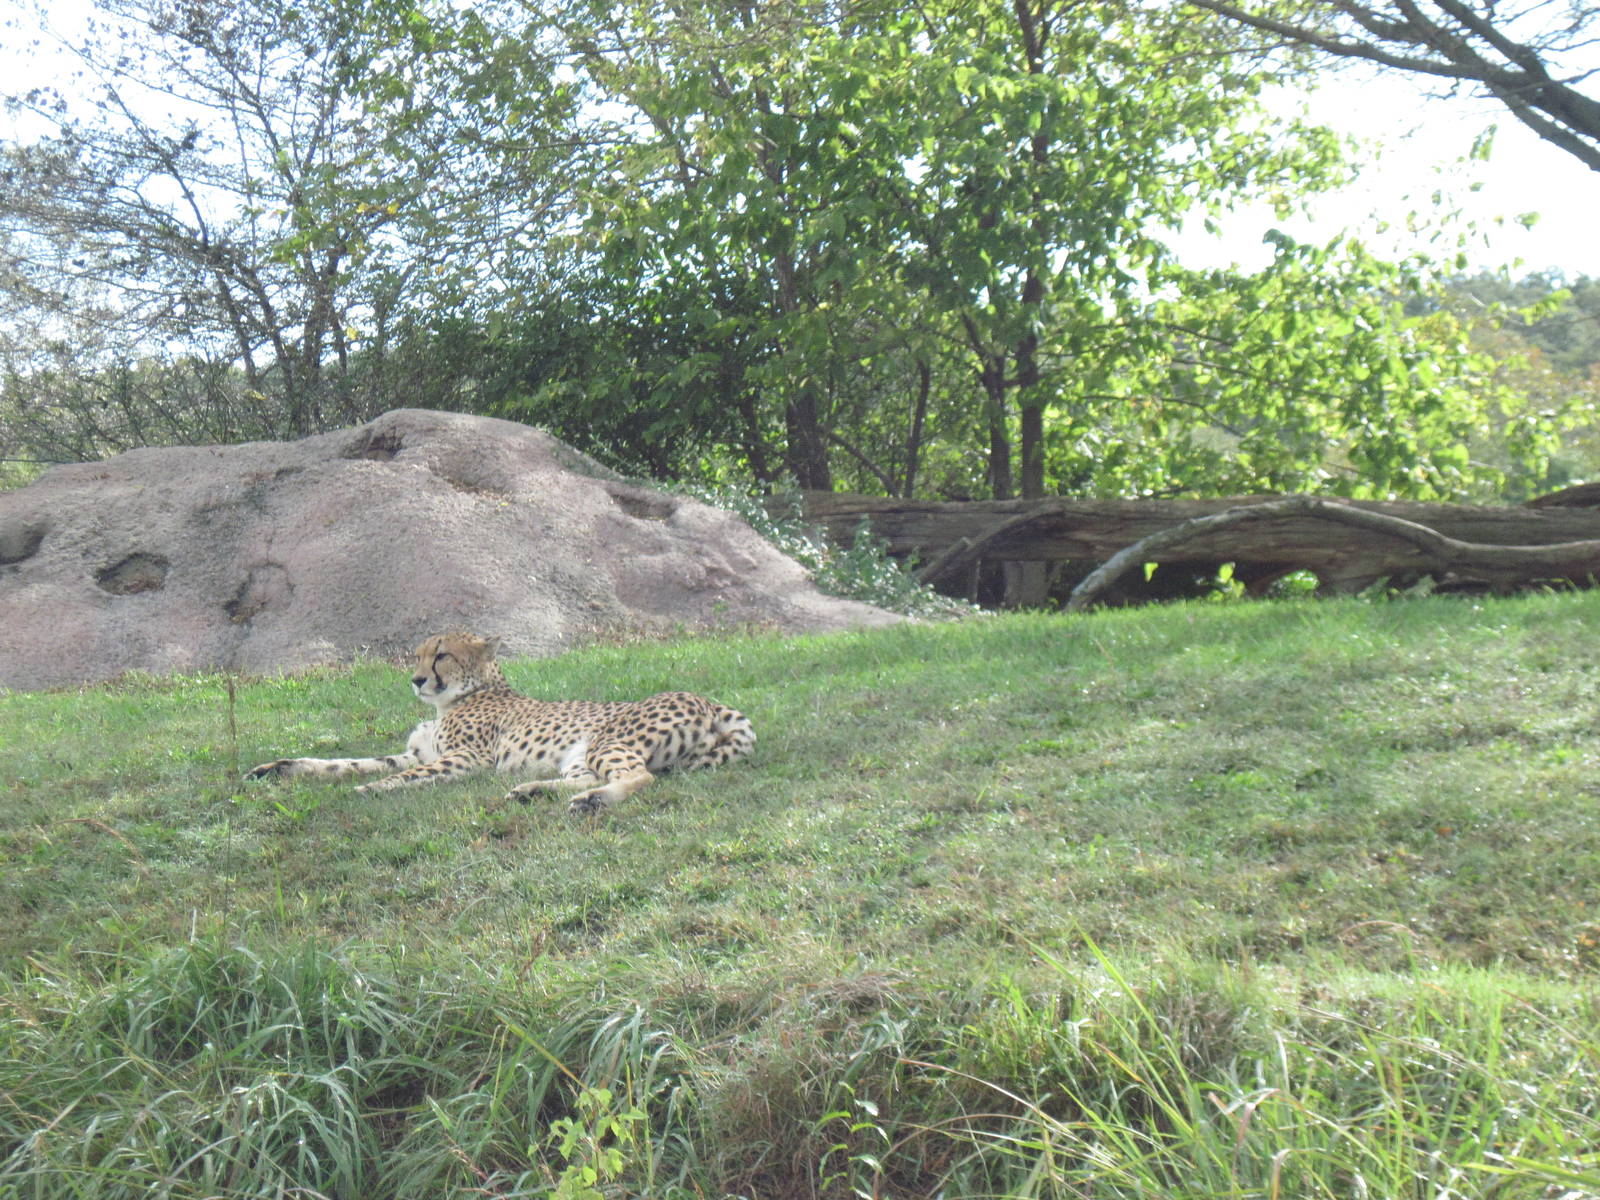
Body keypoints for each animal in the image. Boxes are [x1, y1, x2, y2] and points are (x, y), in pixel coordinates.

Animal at [245, 631, 755, 813]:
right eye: (418, 654)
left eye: (442, 655)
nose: (416, 679)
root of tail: (710, 701)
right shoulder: (411, 752)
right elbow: (347, 763)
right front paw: (278, 768)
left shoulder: (465, 759)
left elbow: (407, 775)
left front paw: (370, 791)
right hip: (579, 754)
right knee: (587, 777)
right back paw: (533, 791)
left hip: (606, 741)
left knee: (640, 776)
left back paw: (593, 801)